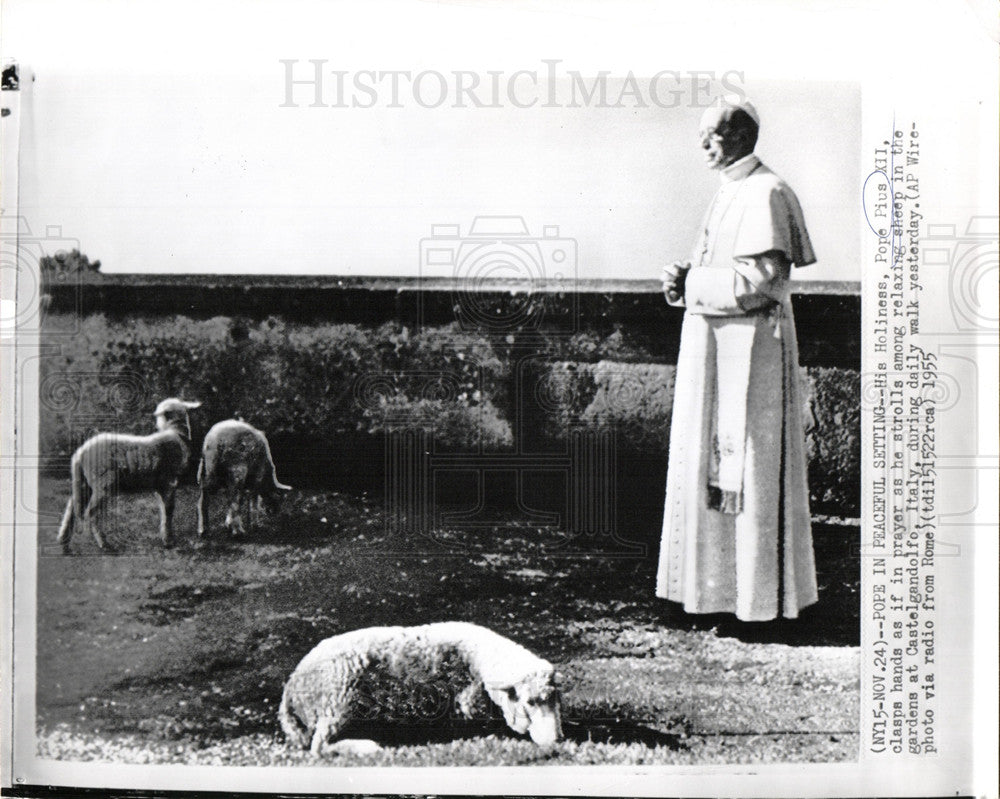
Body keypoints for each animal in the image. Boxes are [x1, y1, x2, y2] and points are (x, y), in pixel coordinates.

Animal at [57, 396, 203, 552]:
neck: (176, 433)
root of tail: (80, 453)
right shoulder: (169, 482)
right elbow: (169, 510)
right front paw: (169, 541)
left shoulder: (160, 486)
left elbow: (163, 509)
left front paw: (165, 537)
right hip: (102, 483)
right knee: (91, 513)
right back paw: (104, 544)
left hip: (84, 484)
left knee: (71, 510)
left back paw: (64, 544)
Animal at [278, 620, 564, 756]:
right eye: (529, 702)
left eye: (555, 699)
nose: (556, 740)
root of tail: (290, 688)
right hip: (339, 701)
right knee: (320, 746)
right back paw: (368, 746)